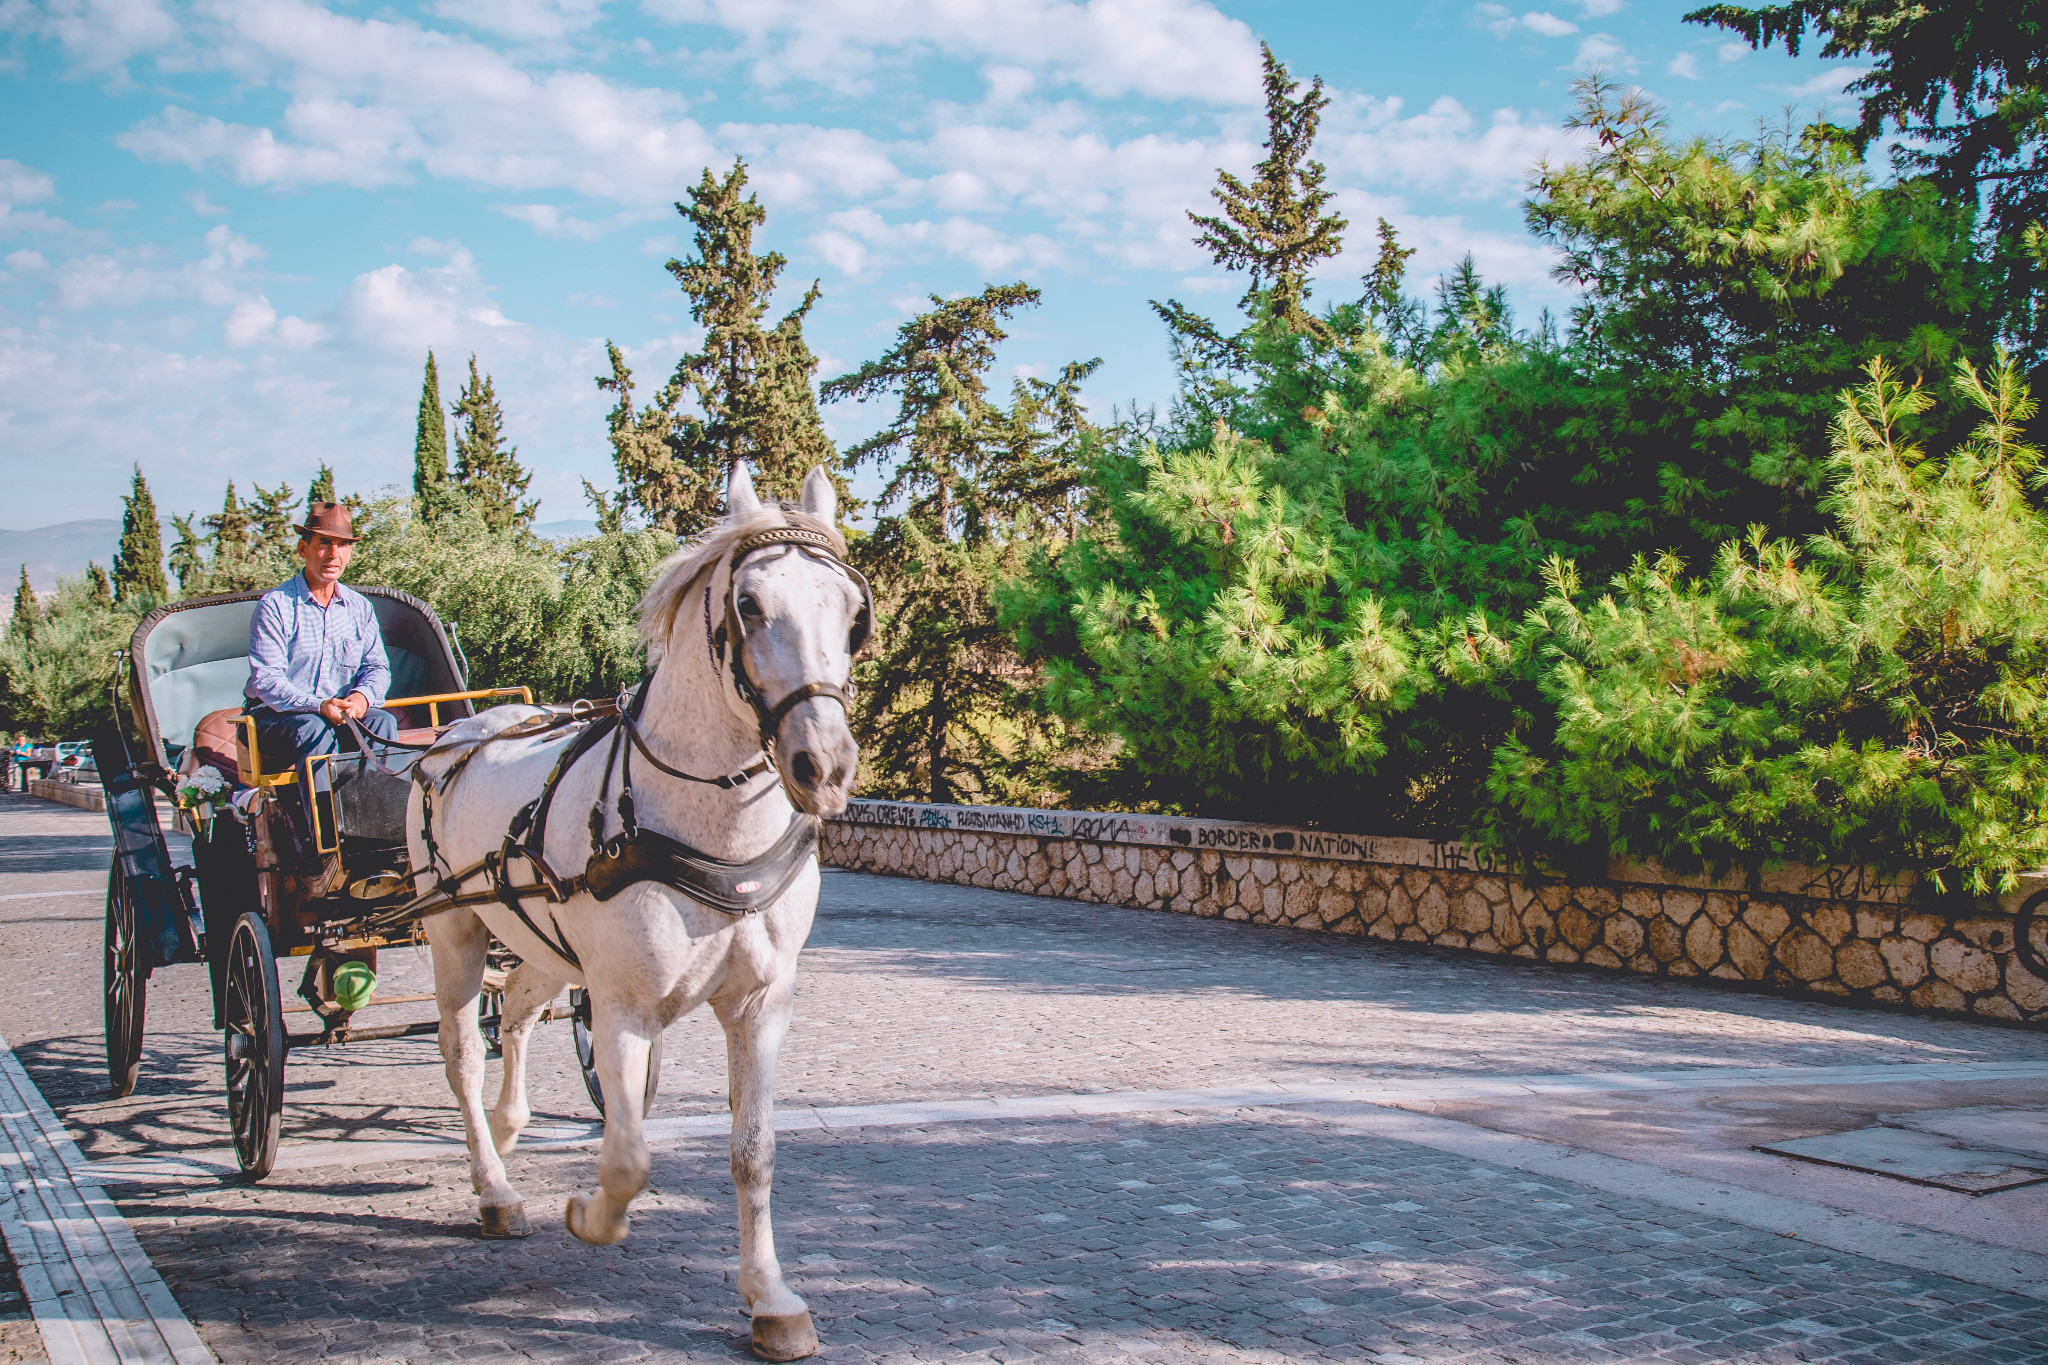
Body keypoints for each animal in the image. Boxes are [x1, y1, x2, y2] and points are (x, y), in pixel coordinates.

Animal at [407, 464, 864, 1358]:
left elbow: (753, 1151)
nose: (823, 765)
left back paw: (509, 1127)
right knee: (460, 1053)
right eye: (749, 605)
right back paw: (493, 1184)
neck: (703, 825)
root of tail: (459, 732)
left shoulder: (763, 1002)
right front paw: (589, 1211)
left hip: (539, 940)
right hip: (454, 927)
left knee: (516, 1012)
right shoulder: (620, 1005)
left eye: (852, 612)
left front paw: (771, 1297)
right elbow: (627, 1156)